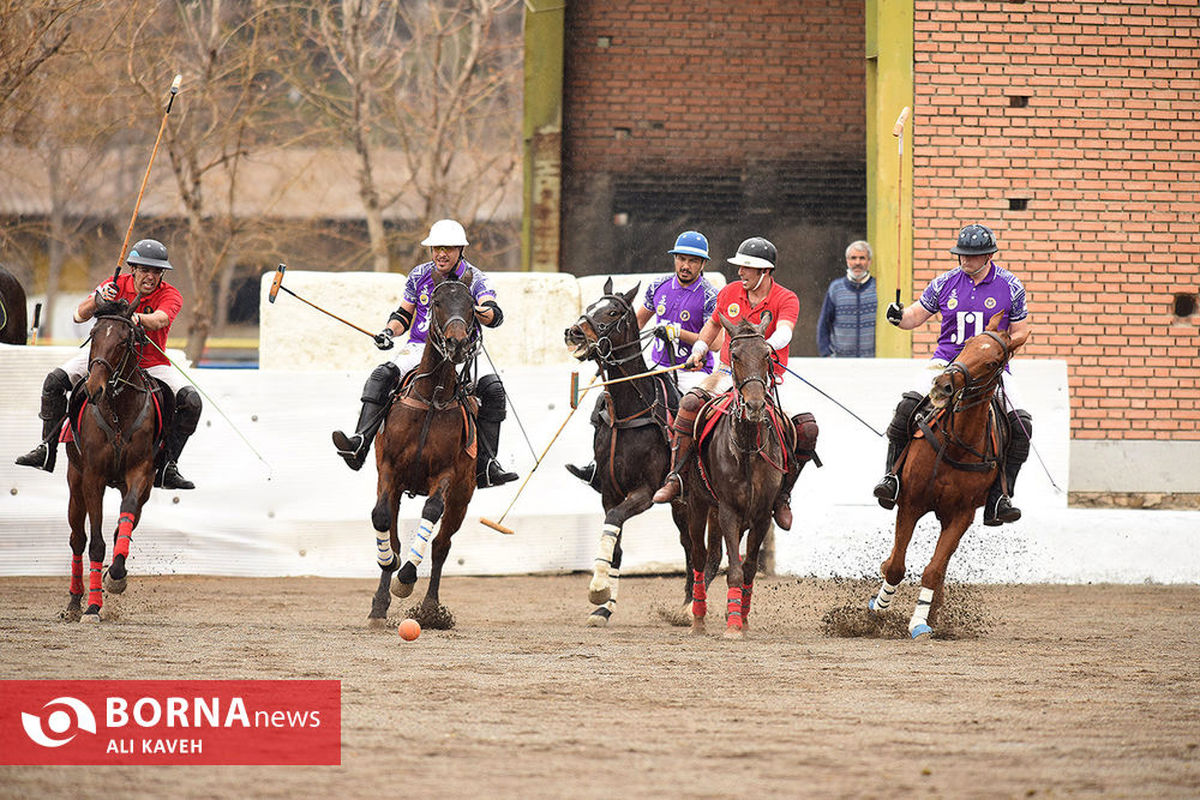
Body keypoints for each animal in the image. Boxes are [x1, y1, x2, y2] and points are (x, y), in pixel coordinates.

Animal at [65, 298, 160, 618]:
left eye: (123, 341)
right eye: (93, 335)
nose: (95, 389)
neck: (119, 411)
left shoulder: (140, 472)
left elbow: (126, 518)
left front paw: (116, 575)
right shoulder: (93, 477)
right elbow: (95, 542)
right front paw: (93, 607)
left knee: (126, 520)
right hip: (75, 481)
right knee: (77, 539)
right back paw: (74, 602)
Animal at [364, 272, 477, 628]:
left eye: (471, 305)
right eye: (436, 302)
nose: (457, 344)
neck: (432, 395)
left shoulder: (446, 473)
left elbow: (431, 512)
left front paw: (405, 578)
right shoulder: (388, 469)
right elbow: (382, 519)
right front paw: (385, 583)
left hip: (463, 494)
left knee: (441, 545)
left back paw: (430, 609)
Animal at [564, 278, 720, 628]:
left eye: (612, 312)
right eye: (591, 306)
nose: (574, 333)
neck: (630, 412)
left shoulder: (646, 491)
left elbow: (614, 520)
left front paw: (597, 589)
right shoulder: (609, 491)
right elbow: (616, 543)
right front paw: (604, 607)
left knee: (709, 552)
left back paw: (692, 608)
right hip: (681, 503)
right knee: (690, 546)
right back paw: (687, 602)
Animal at [681, 316, 792, 642]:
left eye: (767, 355)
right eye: (736, 356)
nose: (754, 406)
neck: (747, 450)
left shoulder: (762, 515)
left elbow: (749, 568)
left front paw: (741, 619)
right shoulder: (728, 511)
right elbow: (733, 569)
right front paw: (732, 627)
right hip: (699, 503)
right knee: (699, 556)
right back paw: (697, 618)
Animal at [868, 311, 1027, 638]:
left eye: (993, 362)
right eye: (967, 344)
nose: (943, 386)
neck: (957, 443)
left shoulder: (962, 515)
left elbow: (933, 570)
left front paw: (919, 621)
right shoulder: (911, 503)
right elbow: (896, 566)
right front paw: (879, 608)